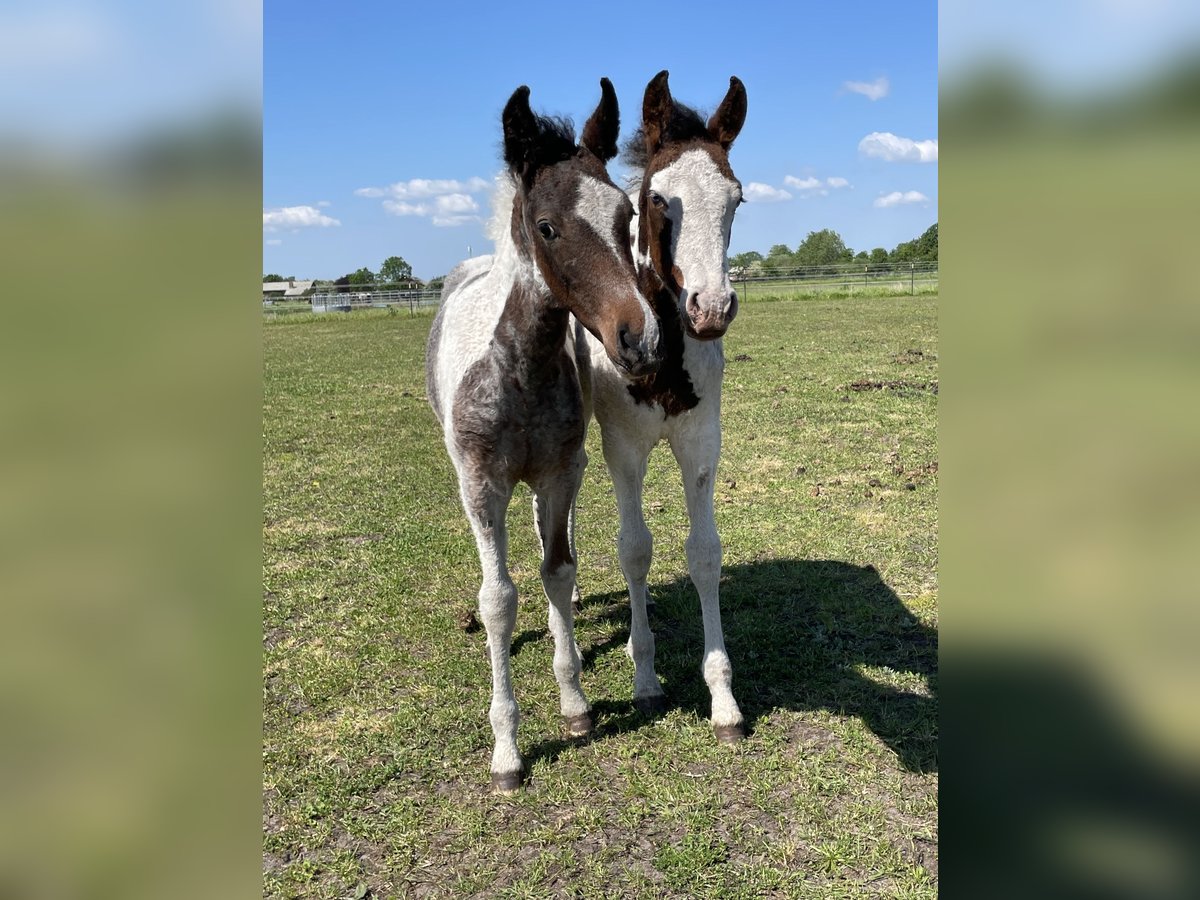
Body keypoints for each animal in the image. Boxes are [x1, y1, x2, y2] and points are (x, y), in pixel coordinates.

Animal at [427, 79, 662, 796]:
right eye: (547, 226)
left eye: (627, 218)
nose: (641, 337)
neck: (519, 367)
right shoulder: (481, 485)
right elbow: (500, 597)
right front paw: (507, 750)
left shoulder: (562, 470)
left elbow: (557, 569)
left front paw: (575, 702)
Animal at [573, 70, 748, 744]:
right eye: (655, 200)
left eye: (736, 199)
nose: (711, 308)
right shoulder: (624, 450)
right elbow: (634, 550)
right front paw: (645, 679)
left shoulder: (700, 443)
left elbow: (703, 554)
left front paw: (723, 700)